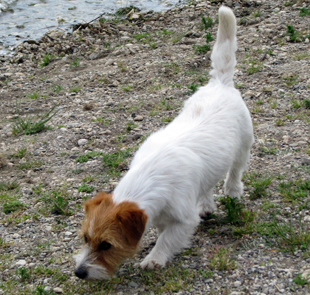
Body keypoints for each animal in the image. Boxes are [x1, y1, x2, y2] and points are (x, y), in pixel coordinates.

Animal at [74, 5, 254, 280]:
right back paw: (206, 204)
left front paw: (154, 258)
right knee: (208, 184)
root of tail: (220, 83)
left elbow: (167, 239)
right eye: (85, 238)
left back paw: (233, 191)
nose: (79, 272)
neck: (150, 176)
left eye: (106, 245)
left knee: (235, 171)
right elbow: (162, 230)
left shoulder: (183, 220)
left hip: (243, 145)